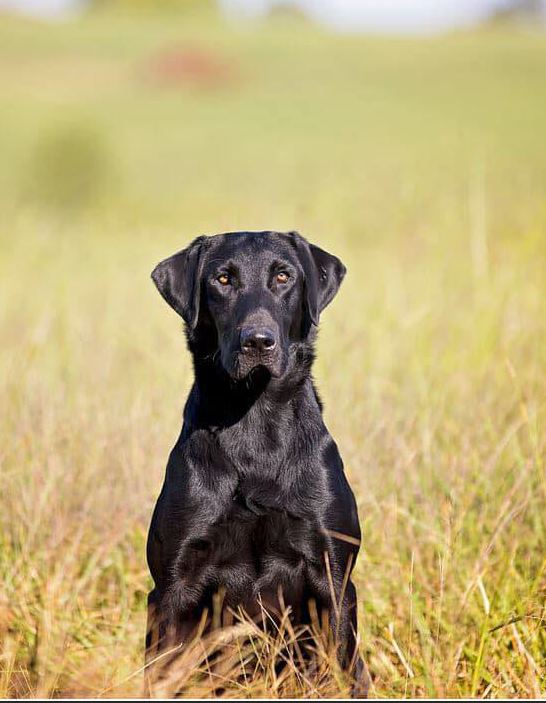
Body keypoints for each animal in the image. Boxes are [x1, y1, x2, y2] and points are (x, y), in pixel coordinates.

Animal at [144, 232, 366, 700]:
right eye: (223, 279)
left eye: (283, 276)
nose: (257, 341)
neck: (255, 423)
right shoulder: (171, 589)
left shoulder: (335, 581)